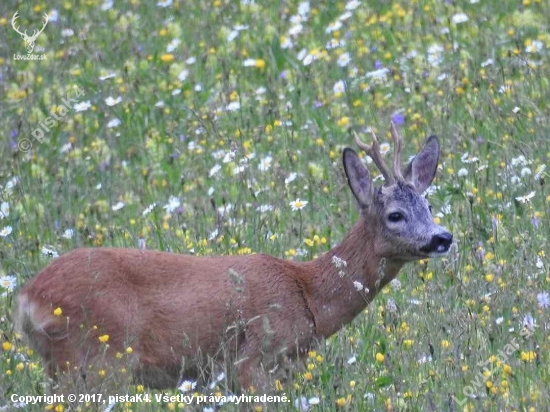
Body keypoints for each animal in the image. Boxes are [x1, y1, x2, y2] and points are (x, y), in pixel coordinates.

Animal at [15, 121, 452, 392]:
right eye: (395, 215)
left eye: (429, 206)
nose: (442, 237)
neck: (307, 294)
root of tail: (26, 297)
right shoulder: (254, 362)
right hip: (94, 360)